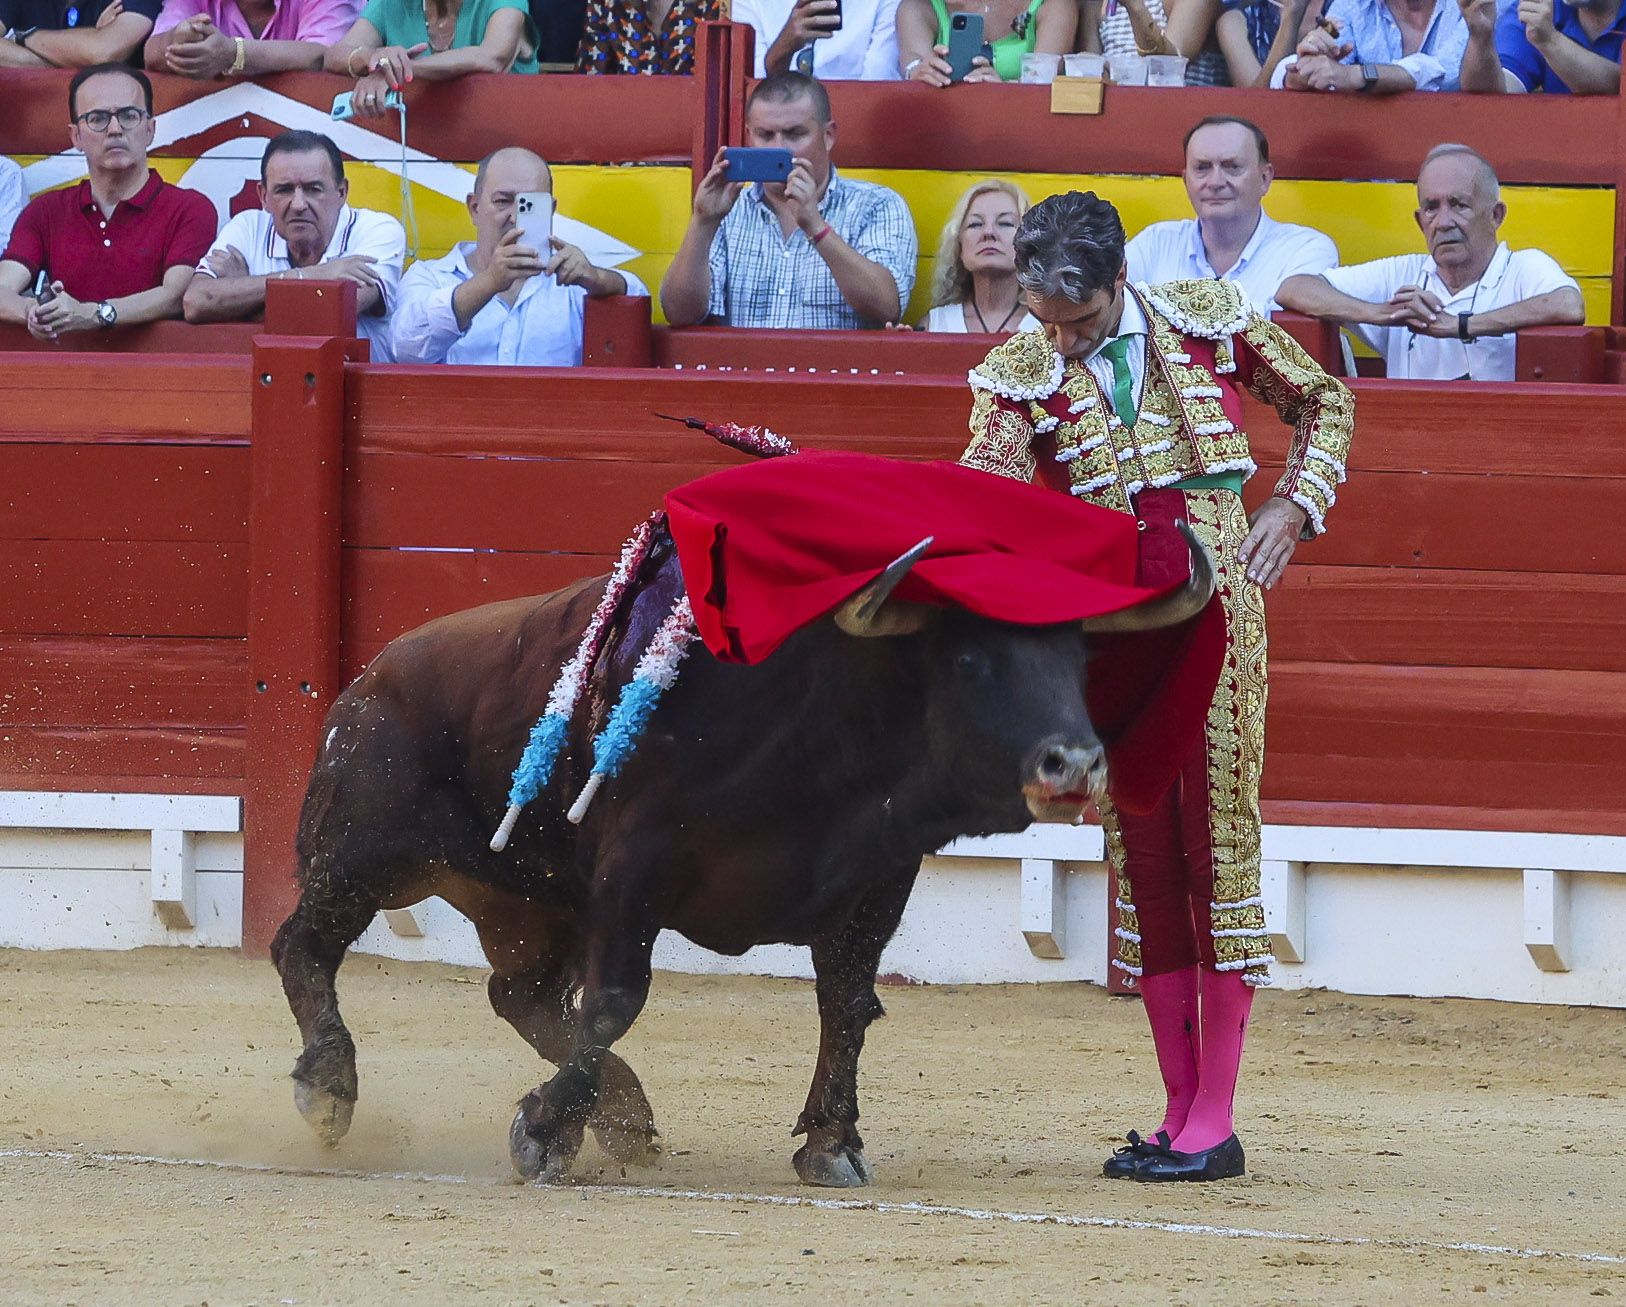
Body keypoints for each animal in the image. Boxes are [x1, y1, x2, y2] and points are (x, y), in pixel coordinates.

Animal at [269, 526, 1209, 1189]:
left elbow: (847, 1004)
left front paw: (831, 1140)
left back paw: (628, 1113)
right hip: (362, 854)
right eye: (972, 654)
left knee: (519, 994)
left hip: (535, 904)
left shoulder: (875, 878)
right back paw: (330, 1088)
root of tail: (364, 681)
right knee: (302, 945)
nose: (1073, 761)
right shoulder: (630, 871)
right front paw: (541, 1133)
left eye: (1077, 655)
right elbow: (615, 1001)